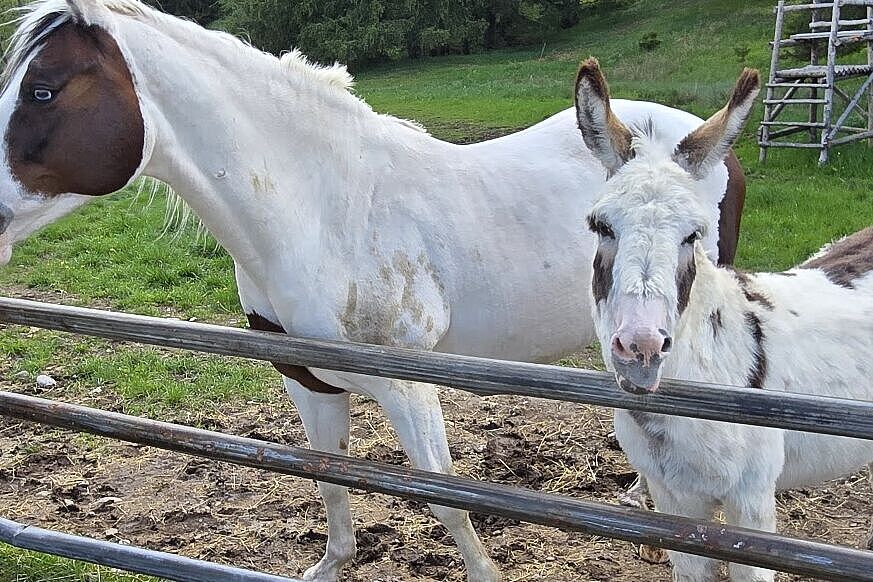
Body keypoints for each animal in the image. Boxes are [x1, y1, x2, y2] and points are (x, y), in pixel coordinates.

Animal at [0, 1, 747, 579]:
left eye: (42, 91)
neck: (324, 210)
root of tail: (704, 139)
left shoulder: (409, 389)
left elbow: (446, 501)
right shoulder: (307, 381)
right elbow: (328, 476)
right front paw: (334, 562)